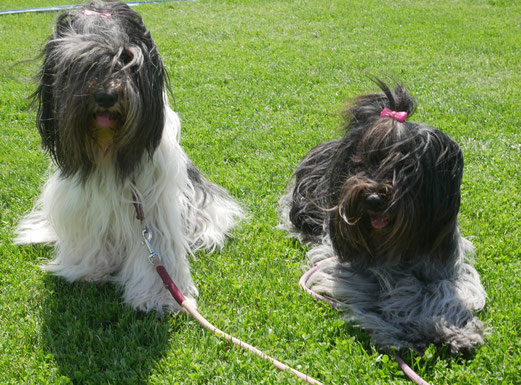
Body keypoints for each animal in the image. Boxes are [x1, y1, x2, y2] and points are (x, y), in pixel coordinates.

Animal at [15, 0, 243, 312]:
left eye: (127, 59)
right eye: (82, 63)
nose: (106, 97)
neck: (108, 147)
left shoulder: (153, 201)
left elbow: (157, 245)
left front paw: (159, 297)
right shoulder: (85, 202)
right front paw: (89, 270)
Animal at [278, 81, 486, 352]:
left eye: (406, 167)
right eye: (363, 162)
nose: (373, 200)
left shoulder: (446, 267)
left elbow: (443, 291)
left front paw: (454, 329)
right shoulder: (348, 266)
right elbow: (393, 290)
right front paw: (404, 330)